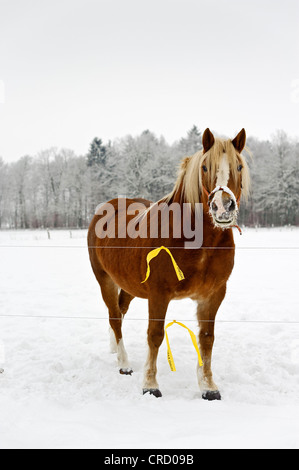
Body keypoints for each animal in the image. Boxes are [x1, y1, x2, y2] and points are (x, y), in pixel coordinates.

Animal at [88, 127, 251, 400]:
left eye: (238, 166)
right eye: (205, 167)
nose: (223, 207)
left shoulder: (213, 295)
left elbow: (207, 338)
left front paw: (208, 387)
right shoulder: (158, 294)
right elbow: (154, 336)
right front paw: (150, 384)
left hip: (130, 285)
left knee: (119, 312)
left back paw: (114, 350)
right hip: (105, 280)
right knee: (114, 316)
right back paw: (124, 363)